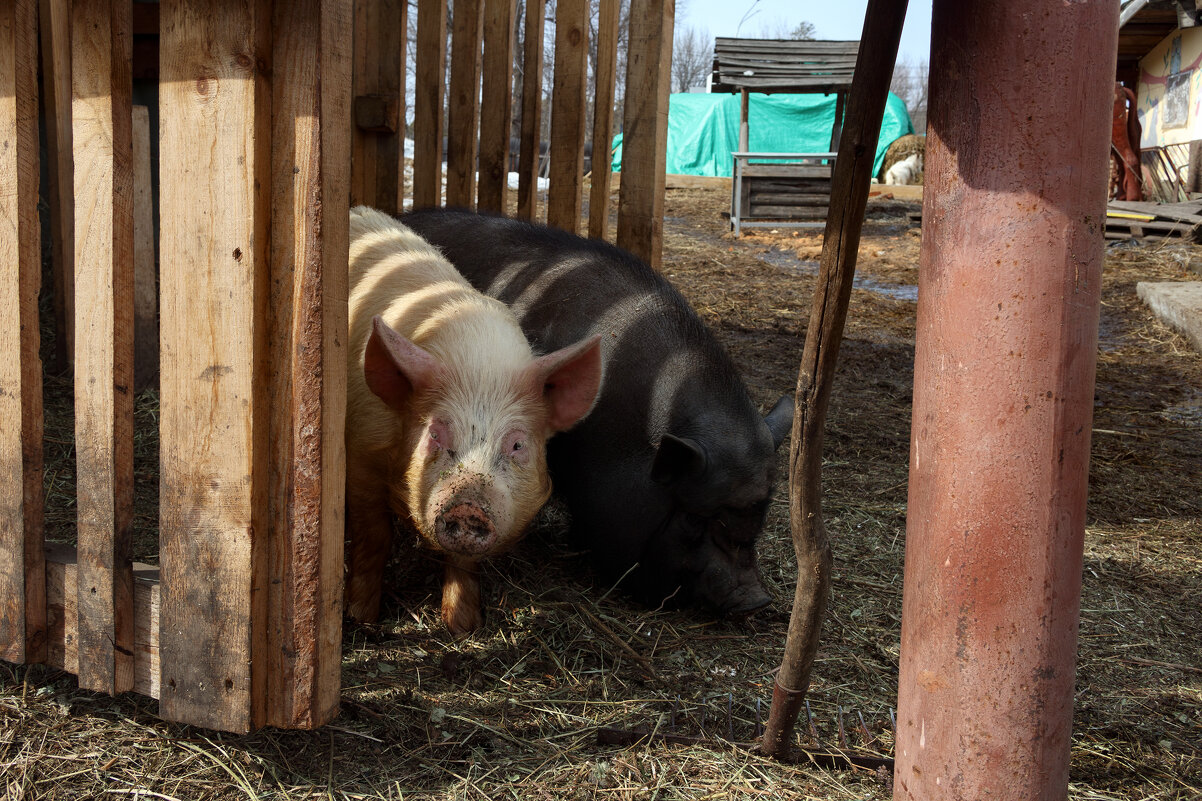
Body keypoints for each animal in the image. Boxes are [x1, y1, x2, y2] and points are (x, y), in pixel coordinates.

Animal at [346, 205, 605, 630]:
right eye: (434, 433)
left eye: (517, 444)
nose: (467, 505)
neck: (478, 367)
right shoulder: (362, 452)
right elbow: (374, 536)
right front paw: (362, 619)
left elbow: (464, 563)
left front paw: (462, 627)